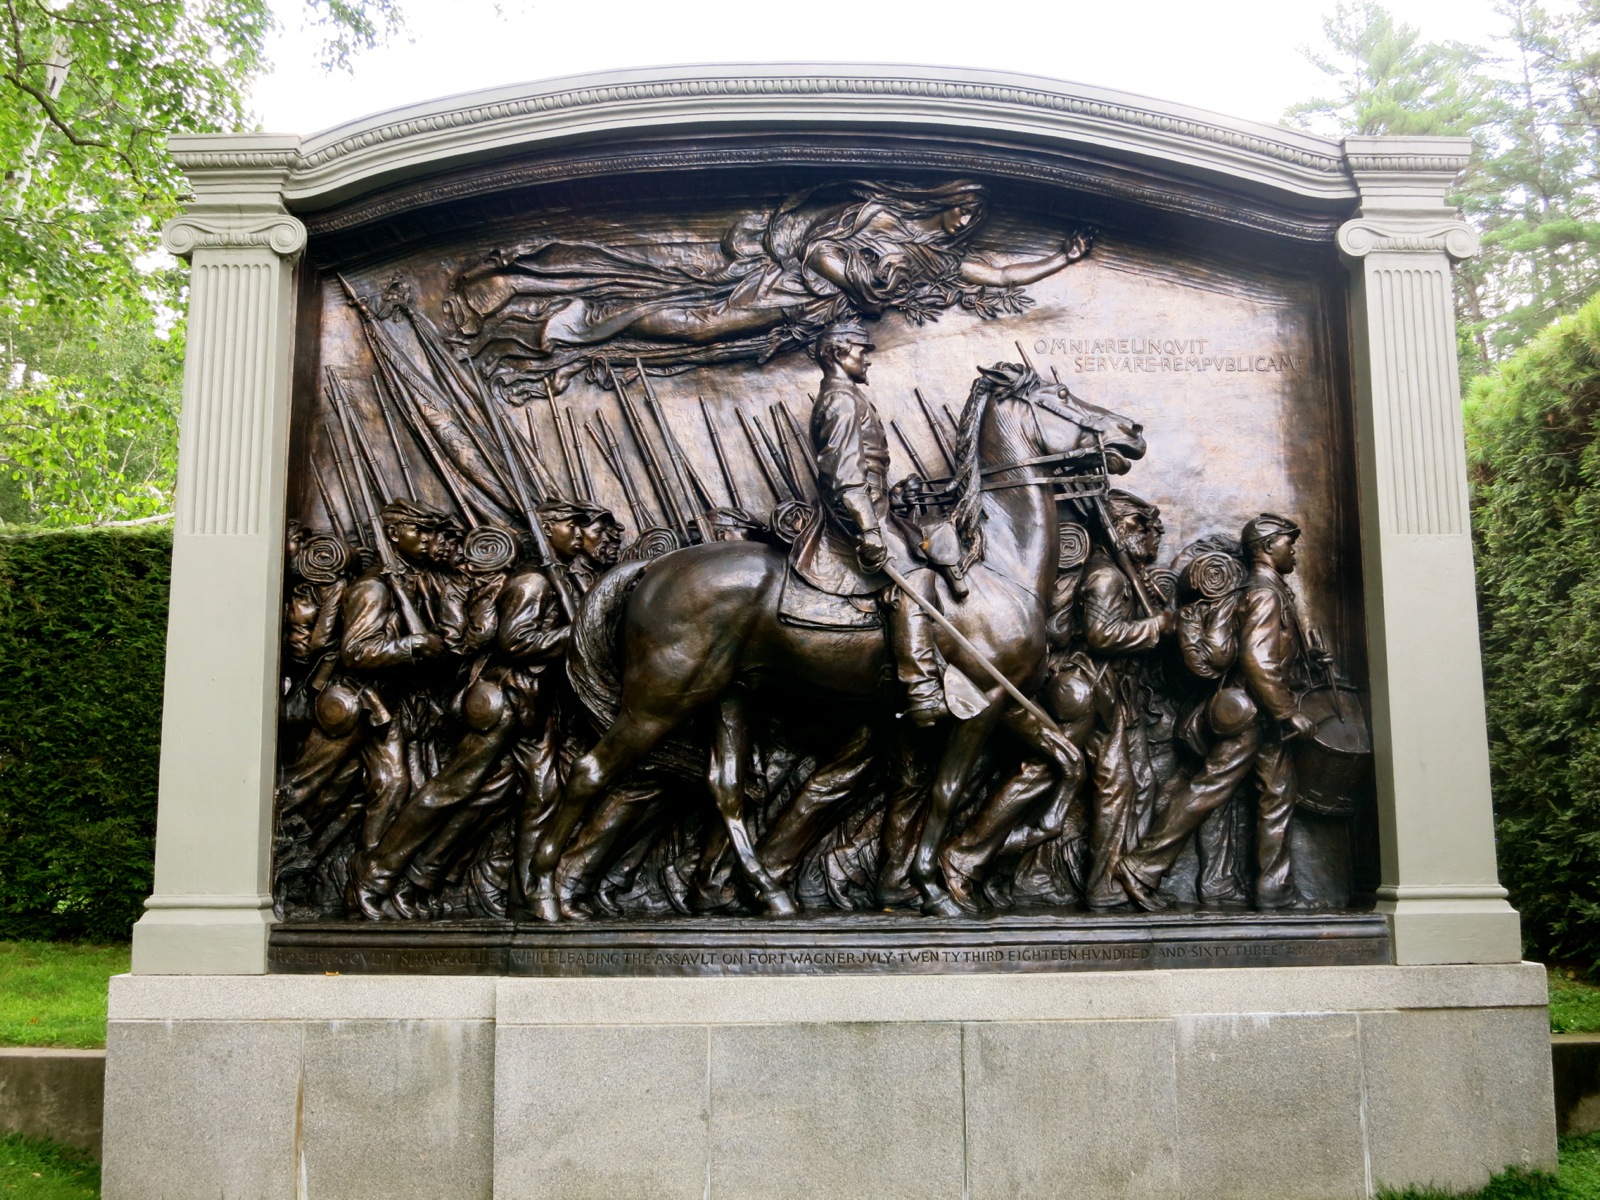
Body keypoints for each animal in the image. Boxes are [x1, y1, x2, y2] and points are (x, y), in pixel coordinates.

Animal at [531, 360, 1145, 921]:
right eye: (1061, 395)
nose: (1133, 430)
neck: (997, 566)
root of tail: (652, 568)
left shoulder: (1008, 700)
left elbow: (1069, 761)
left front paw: (1023, 838)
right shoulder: (980, 703)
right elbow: (946, 793)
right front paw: (937, 888)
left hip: (730, 696)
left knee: (723, 787)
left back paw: (770, 895)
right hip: (661, 697)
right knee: (590, 773)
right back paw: (543, 895)